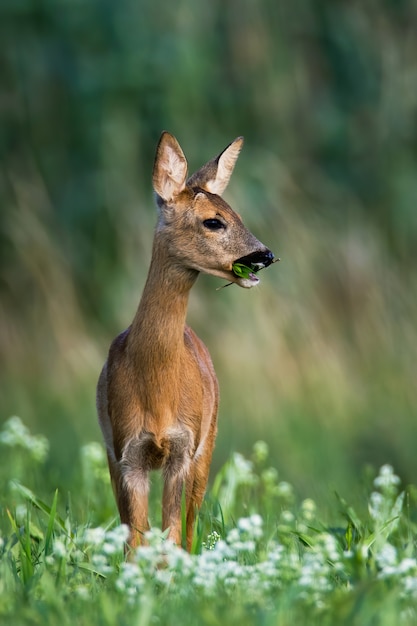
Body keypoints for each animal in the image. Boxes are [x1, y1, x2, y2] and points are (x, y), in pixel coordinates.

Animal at [96, 130, 274, 544]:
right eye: (213, 221)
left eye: (236, 214)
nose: (264, 255)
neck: (157, 390)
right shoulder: (127, 453)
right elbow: (138, 541)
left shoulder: (182, 449)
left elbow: (173, 536)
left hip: (206, 446)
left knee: (191, 531)